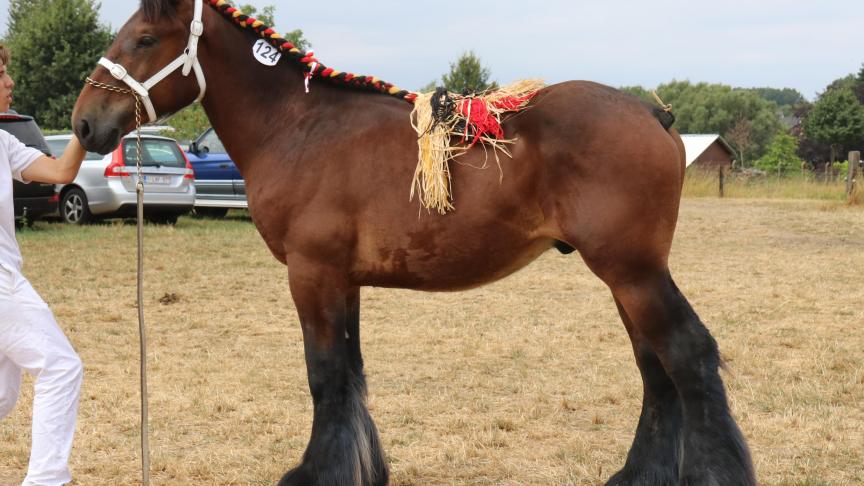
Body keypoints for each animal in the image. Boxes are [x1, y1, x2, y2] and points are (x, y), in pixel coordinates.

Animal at [69, 1, 756, 484]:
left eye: (144, 40)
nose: (83, 123)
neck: (300, 127)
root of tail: (652, 115)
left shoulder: (312, 274)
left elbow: (325, 376)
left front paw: (315, 474)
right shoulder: (342, 281)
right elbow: (350, 375)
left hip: (632, 272)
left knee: (687, 355)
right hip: (626, 276)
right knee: (656, 368)